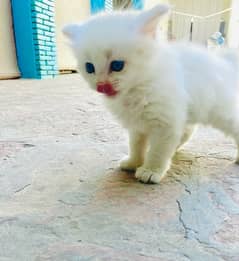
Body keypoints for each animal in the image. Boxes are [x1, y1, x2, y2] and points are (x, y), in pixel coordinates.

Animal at [63, 4, 239, 183]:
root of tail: (224, 61)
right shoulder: (138, 126)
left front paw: (151, 170)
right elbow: (136, 146)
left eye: (117, 65)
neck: (138, 88)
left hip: (221, 113)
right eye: (89, 68)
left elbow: (157, 151)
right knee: (187, 132)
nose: (101, 86)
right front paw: (134, 162)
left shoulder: (165, 123)